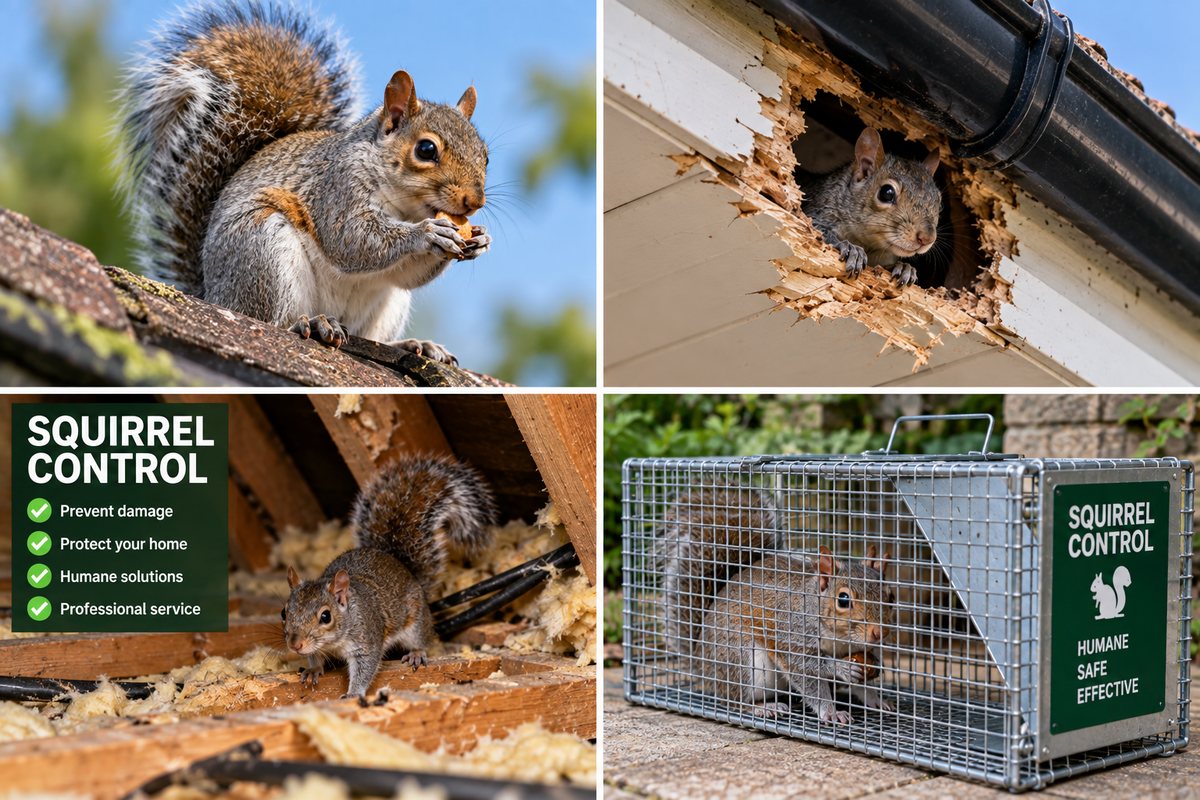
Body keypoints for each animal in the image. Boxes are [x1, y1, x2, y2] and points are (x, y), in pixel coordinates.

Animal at [118, 1, 489, 363]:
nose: (475, 202)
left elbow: (406, 274)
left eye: (485, 155)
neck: (406, 206)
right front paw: (427, 233)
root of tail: (213, 295)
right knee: (272, 319)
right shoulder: (336, 190)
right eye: (426, 149)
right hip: (263, 249)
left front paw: (479, 240)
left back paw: (413, 345)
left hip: (386, 306)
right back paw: (311, 322)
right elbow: (353, 240)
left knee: (373, 333)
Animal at [282, 455, 497, 703]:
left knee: (422, 638)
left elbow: (365, 667)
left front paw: (354, 693)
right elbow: (315, 656)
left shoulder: (367, 639)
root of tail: (405, 569)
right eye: (284, 613)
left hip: (415, 622)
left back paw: (416, 653)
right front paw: (313, 669)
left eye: (326, 617)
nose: (295, 645)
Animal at [801, 127, 941, 287]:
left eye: (939, 200)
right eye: (887, 193)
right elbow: (818, 230)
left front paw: (904, 267)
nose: (927, 238)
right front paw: (851, 249)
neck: (869, 244)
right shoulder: (817, 212)